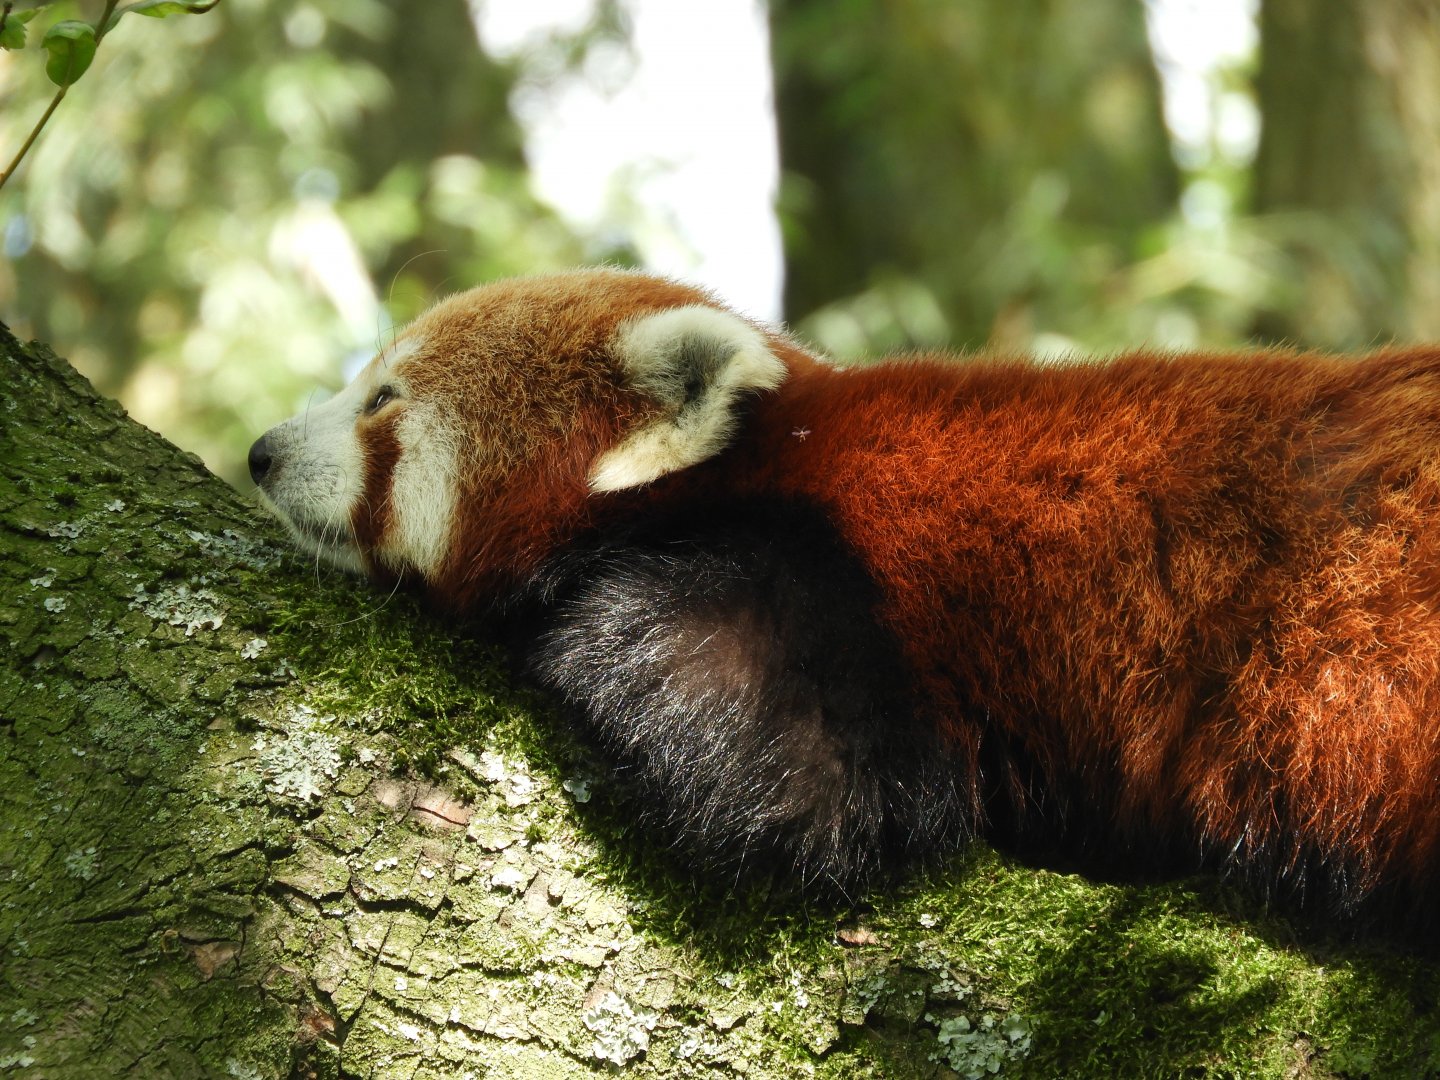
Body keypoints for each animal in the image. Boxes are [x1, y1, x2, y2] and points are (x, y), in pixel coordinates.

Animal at [250, 267, 1440, 931]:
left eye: (382, 400)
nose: (262, 451)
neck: (782, 451)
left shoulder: (844, 589)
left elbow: (797, 785)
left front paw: (559, 619)